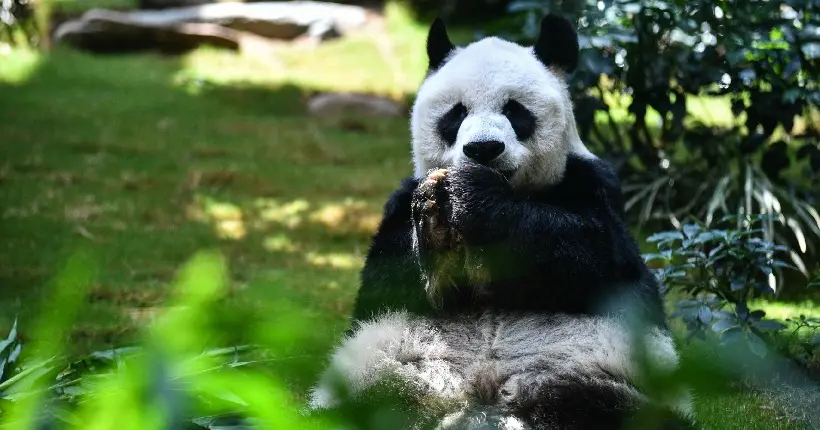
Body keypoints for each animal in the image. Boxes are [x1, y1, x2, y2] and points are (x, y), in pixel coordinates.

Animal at [308, 14, 700, 430]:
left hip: (595, 376)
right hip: (384, 374)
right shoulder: (398, 206)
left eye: (515, 110)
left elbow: (590, 251)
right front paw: (436, 225)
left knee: (610, 410)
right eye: (457, 113)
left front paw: (473, 197)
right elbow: (391, 276)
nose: (483, 149)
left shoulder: (594, 184)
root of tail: (480, 401)